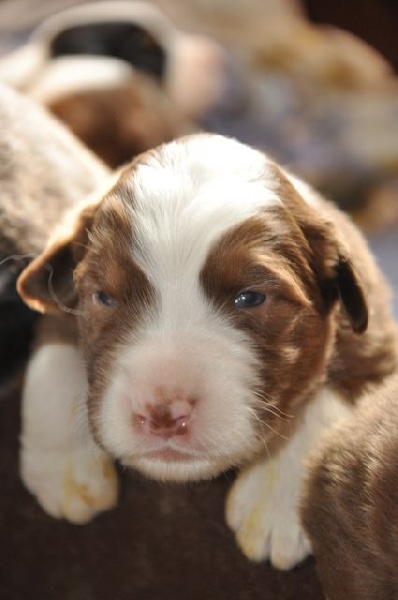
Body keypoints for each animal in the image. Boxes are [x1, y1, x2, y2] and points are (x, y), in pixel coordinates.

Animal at [16, 134, 398, 568]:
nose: (162, 414)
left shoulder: (377, 335)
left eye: (251, 297)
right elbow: (57, 335)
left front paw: (276, 498)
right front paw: (62, 464)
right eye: (103, 297)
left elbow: (340, 379)